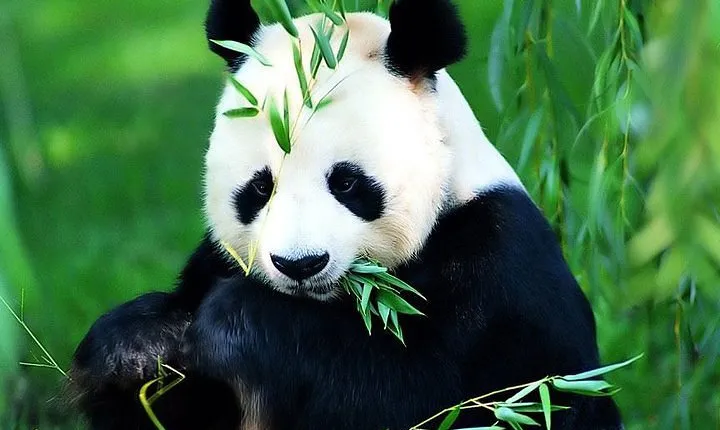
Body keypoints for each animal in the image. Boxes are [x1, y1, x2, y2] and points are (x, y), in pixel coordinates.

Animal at [70, 0, 623, 429]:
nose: (300, 265)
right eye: (260, 187)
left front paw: (237, 322)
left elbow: (413, 393)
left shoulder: (498, 268)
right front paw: (138, 346)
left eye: (347, 183)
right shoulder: (217, 260)